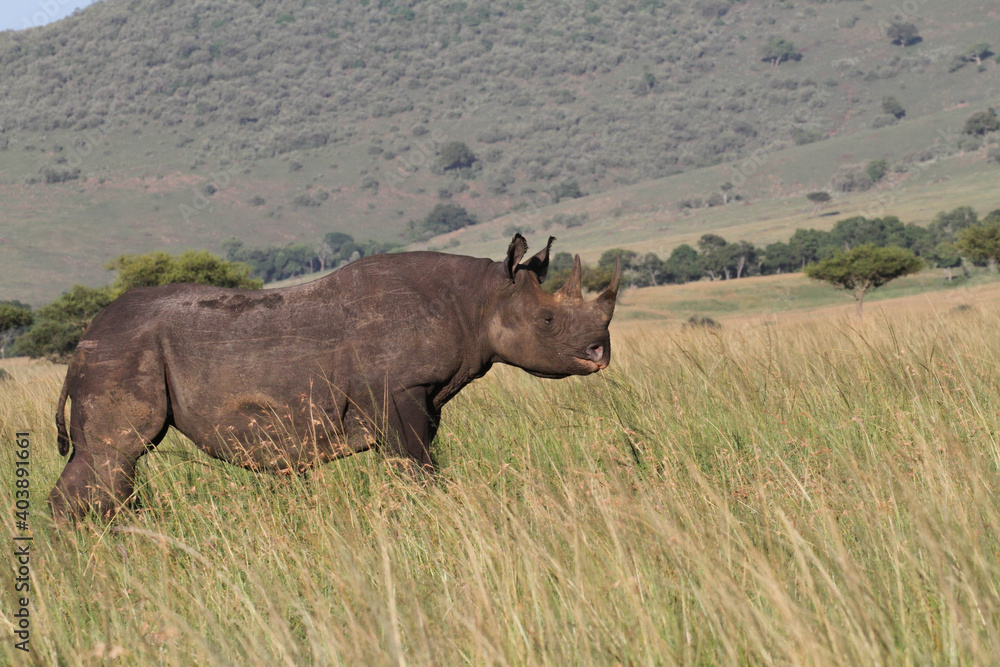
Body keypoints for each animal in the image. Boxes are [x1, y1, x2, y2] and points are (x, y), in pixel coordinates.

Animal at [49, 234, 621, 520]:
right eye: (547, 322)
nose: (601, 353)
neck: (480, 297)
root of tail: (81, 341)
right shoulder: (402, 390)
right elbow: (417, 470)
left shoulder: (421, 397)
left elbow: (414, 466)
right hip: (122, 350)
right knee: (115, 456)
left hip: (119, 349)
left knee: (107, 463)